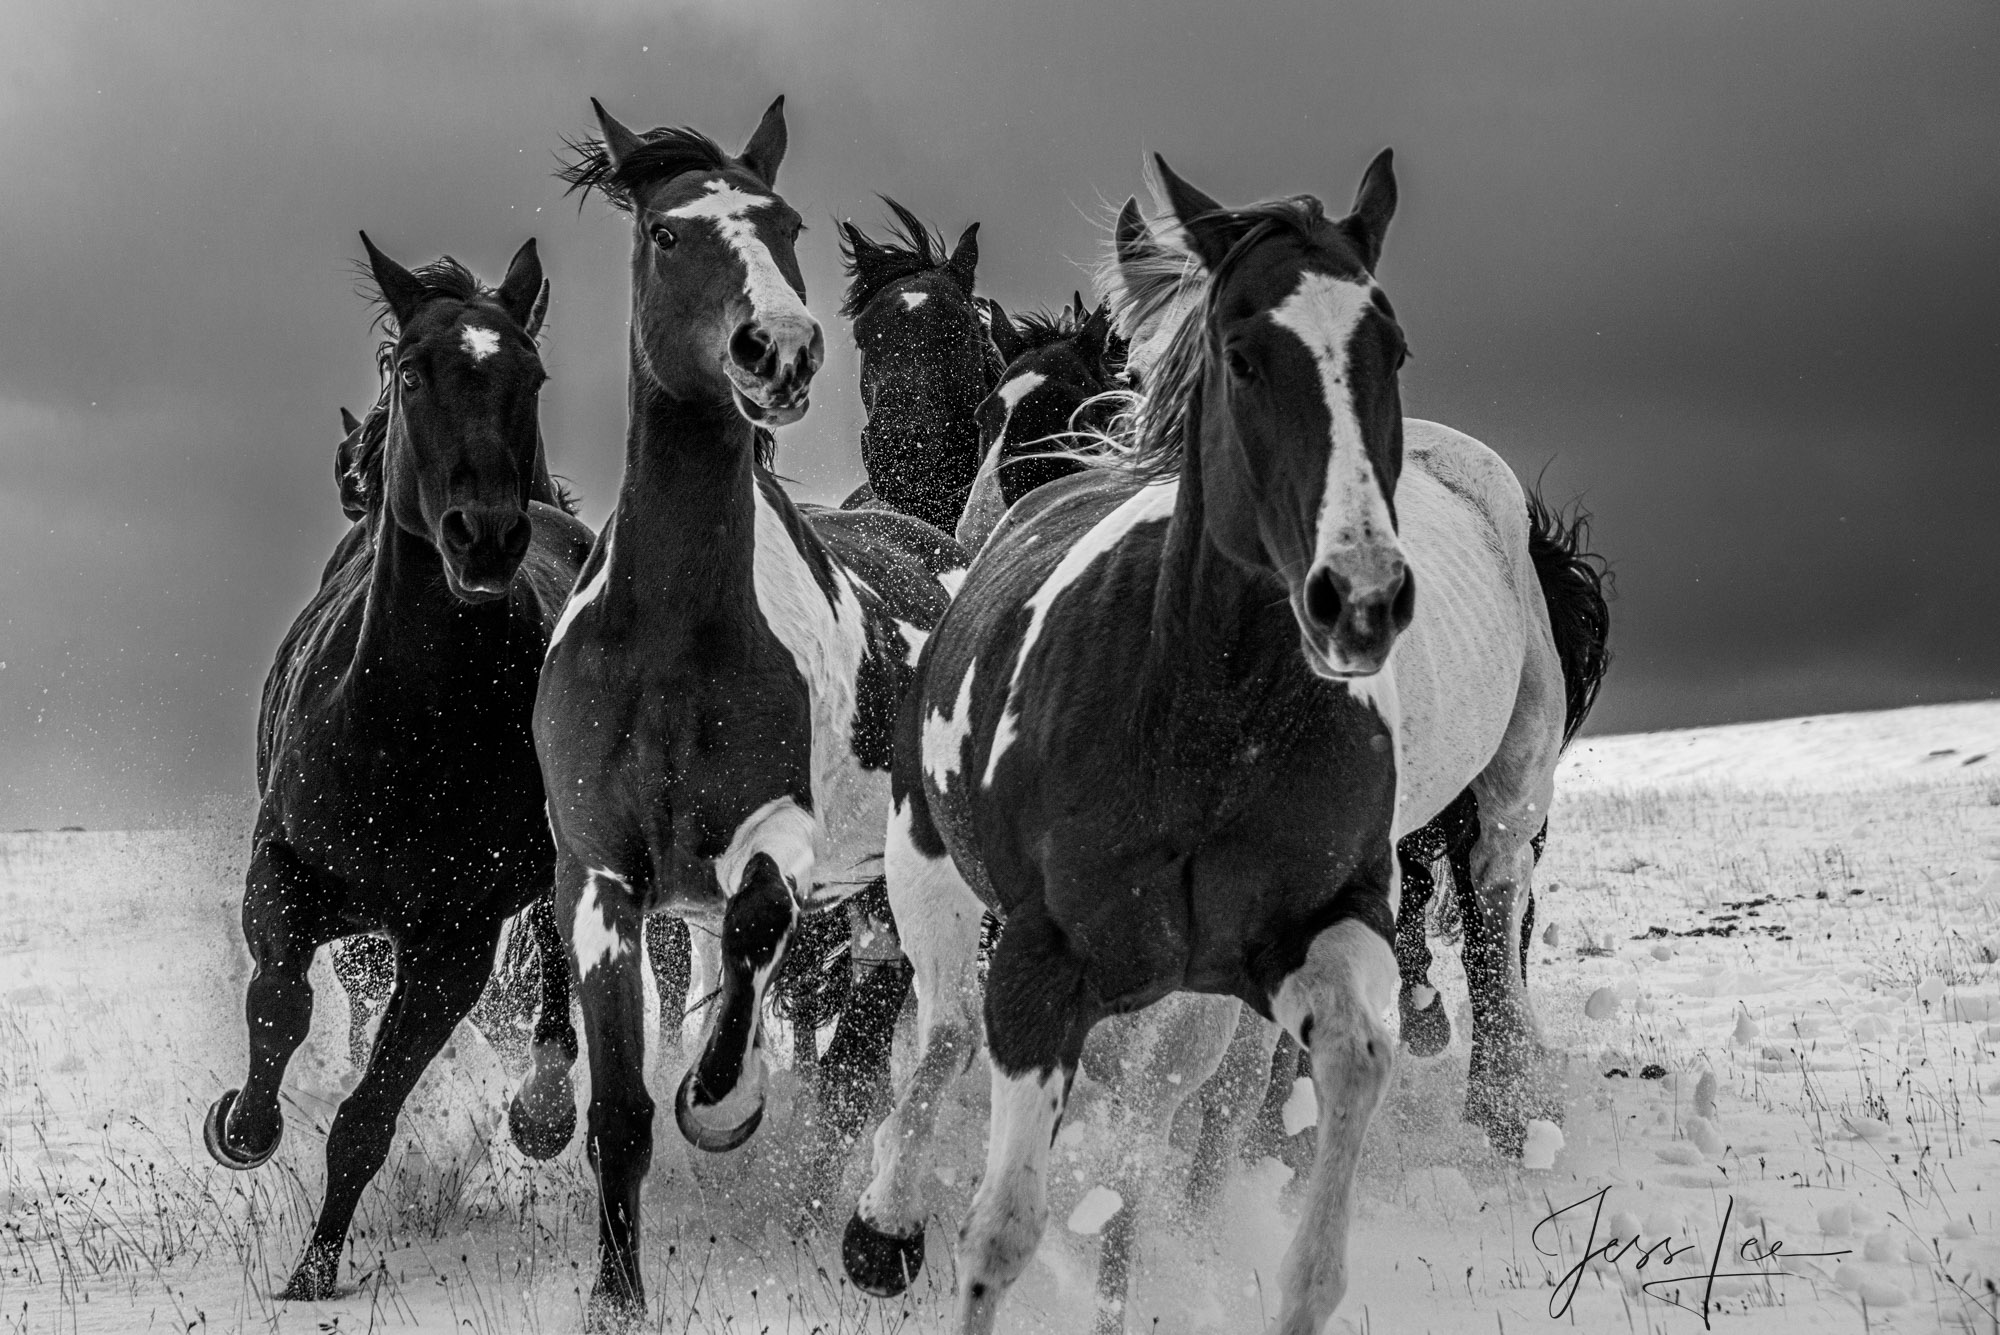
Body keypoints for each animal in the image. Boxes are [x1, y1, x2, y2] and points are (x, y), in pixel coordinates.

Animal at [205, 234, 592, 1295]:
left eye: (530, 374)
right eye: (412, 370)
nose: (484, 535)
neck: (408, 725)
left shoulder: (451, 942)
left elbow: (371, 1112)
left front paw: (314, 1272)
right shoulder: (286, 870)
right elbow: (279, 1003)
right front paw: (244, 1125)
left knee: (555, 967)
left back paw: (543, 1107)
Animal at [524, 96, 968, 1327]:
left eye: (785, 224)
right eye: (668, 232)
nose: (778, 348)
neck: (674, 639)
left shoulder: (781, 835)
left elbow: (760, 925)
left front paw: (724, 1103)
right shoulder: (599, 879)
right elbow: (619, 1110)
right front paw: (616, 1294)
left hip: (907, 886)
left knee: (887, 1054)